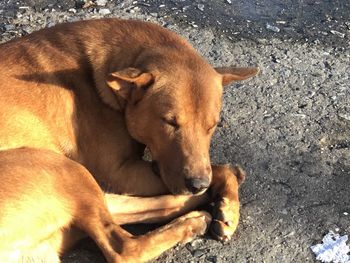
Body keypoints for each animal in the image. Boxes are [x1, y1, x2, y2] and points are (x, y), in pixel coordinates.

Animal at [0, 18, 258, 262]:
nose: (198, 184)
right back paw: (193, 217)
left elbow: (217, 170)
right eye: (169, 122)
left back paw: (199, 211)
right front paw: (228, 203)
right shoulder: (122, 173)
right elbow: (220, 169)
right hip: (61, 167)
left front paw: (226, 204)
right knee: (125, 247)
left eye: (212, 126)